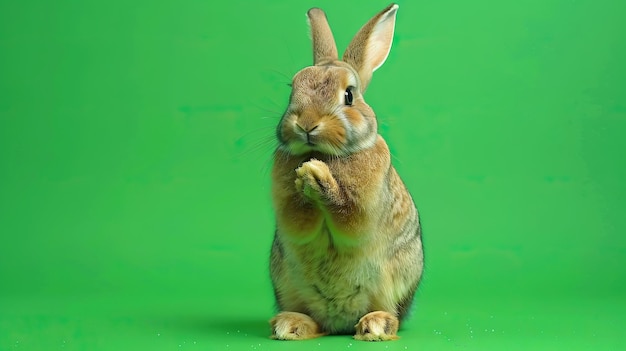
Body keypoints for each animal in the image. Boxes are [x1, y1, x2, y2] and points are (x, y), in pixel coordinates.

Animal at [268, 4, 424, 342]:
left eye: (349, 95)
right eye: (292, 89)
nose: (306, 124)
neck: (328, 155)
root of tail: (338, 321)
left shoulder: (365, 207)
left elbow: (349, 218)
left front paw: (318, 179)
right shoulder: (289, 213)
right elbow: (299, 220)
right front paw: (308, 177)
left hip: (396, 281)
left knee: (387, 313)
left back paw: (375, 326)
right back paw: (291, 325)